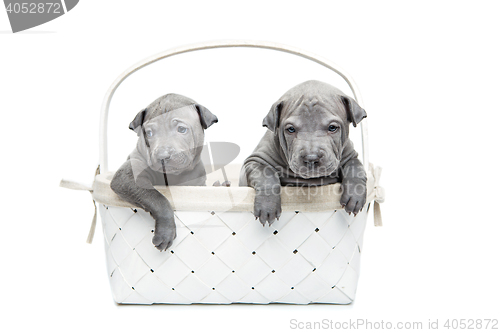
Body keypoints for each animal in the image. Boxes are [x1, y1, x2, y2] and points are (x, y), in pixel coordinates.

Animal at [111, 92, 217, 249]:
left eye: (182, 129)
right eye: (149, 133)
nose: (162, 155)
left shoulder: (197, 184)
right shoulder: (127, 177)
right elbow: (157, 198)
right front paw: (165, 231)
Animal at [240, 80, 370, 226]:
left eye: (332, 127)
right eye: (291, 129)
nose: (311, 158)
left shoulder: (350, 155)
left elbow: (355, 168)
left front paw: (355, 196)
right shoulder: (254, 160)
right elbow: (266, 174)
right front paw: (267, 206)